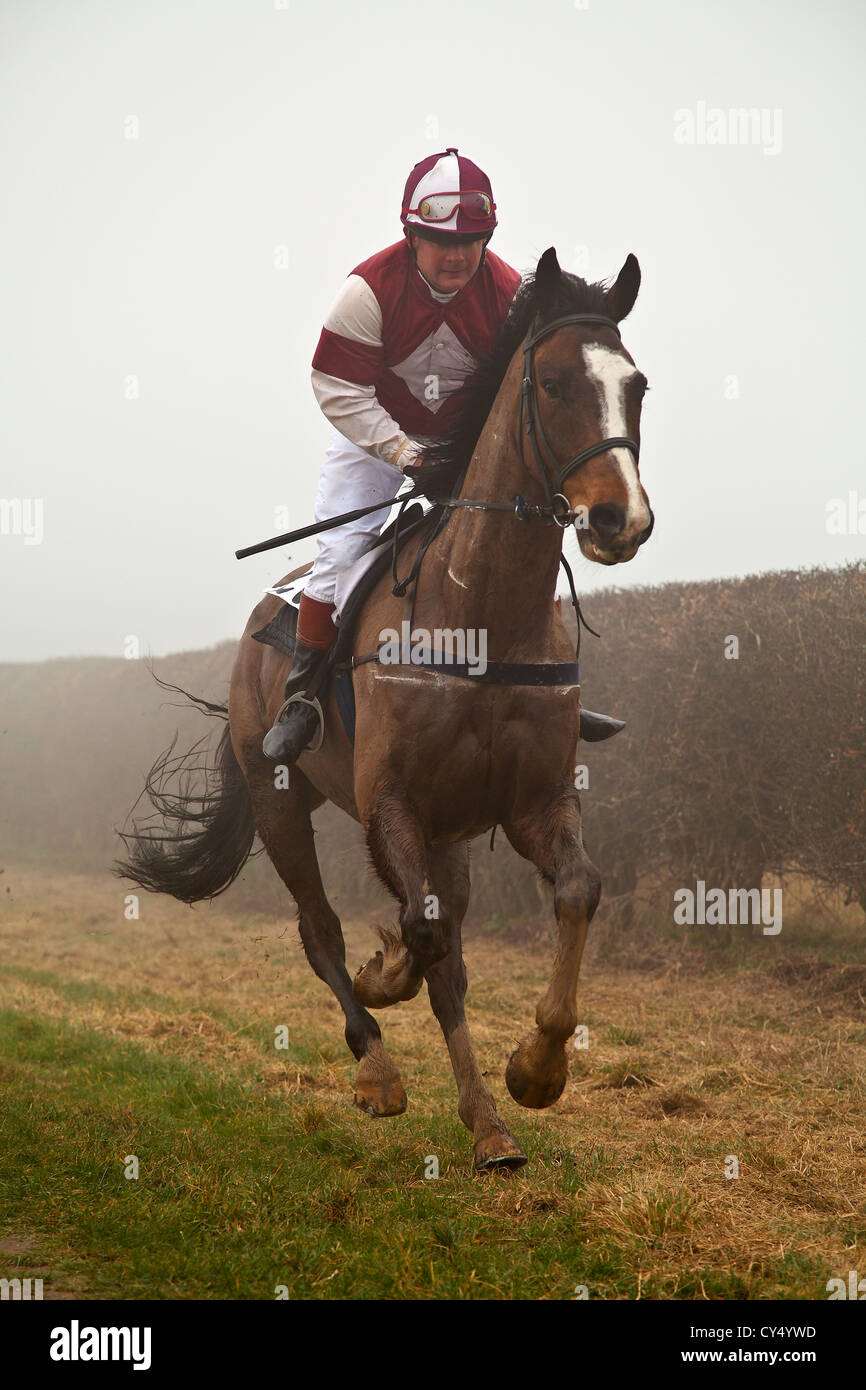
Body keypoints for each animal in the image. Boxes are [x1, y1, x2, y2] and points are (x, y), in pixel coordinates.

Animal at [118, 247, 653, 1173]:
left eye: (640, 386)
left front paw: (538, 1069)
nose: (623, 518)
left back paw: (488, 1126)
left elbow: (575, 892)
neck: (481, 613)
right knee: (320, 929)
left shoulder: (531, 802)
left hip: (450, 836)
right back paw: (376, 1067)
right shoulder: (390, 803)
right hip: (278, 798)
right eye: (552, 383)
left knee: (448, 963)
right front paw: (386, 974)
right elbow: (416, 933)